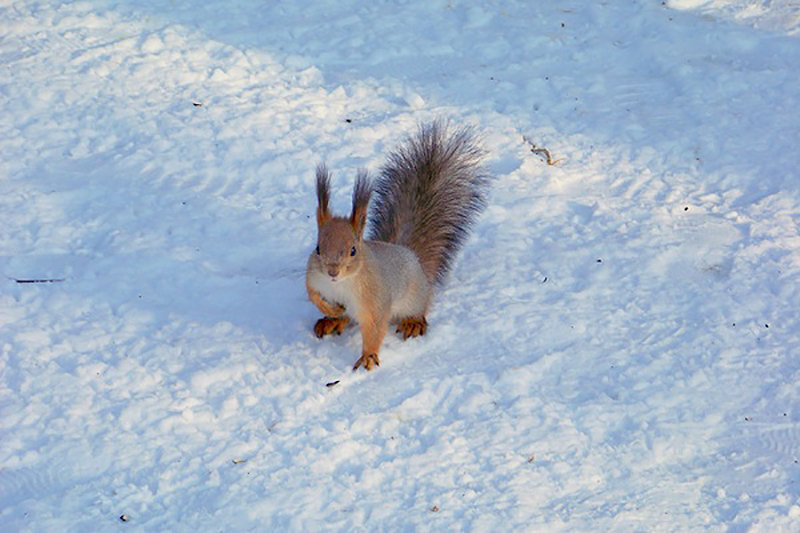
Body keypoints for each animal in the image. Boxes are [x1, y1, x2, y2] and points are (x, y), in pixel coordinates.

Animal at [304, 120, 488, 370]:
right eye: (318, 248)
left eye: (353, 250)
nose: (332, 272)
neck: (341, 285)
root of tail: (412, 255)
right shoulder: (313, 276)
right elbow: (312, 294)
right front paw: (329, 308)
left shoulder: (376, 300)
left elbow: (375, 328)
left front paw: (368, 355)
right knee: (346, 317)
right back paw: (333, 319)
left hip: (414, 297)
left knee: (419, 308)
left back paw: (413, 321)